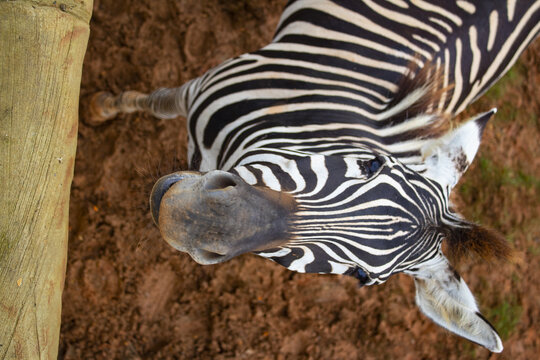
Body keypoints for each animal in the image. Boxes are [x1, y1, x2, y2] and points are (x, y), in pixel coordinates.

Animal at [90, 0, 536, 352]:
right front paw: (100, 108)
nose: (190, 219)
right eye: (371, 164)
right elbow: (155, 101)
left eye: (360, 277)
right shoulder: (202, 86)